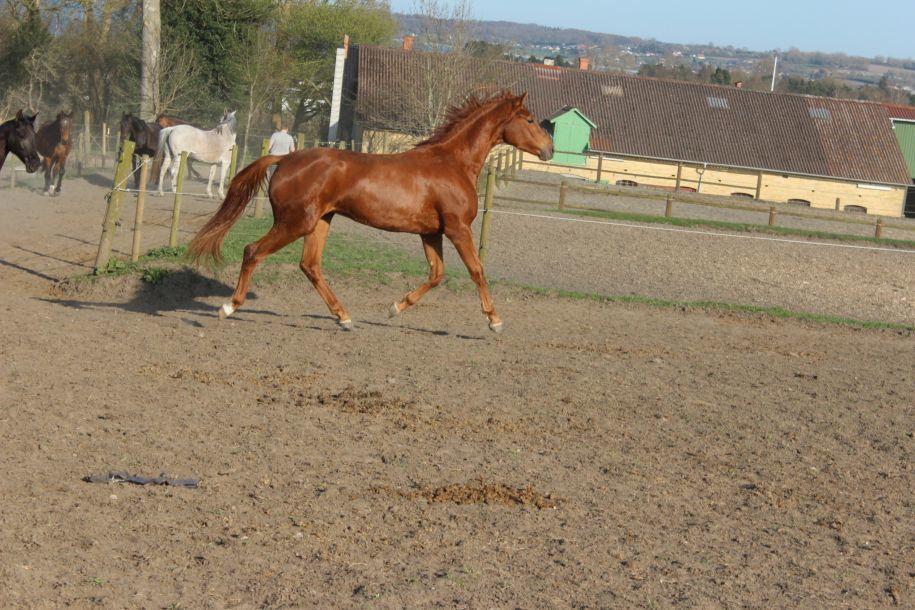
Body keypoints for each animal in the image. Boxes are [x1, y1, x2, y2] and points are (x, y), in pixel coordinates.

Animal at [190, 90, 556, 332]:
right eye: (529, 119)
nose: (549, 149)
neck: (453, 163)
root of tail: (286, 158)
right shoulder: (457, 228)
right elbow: (477, 270)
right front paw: (495, 320)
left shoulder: (430, 233)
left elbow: (436, 275)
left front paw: (395, 308)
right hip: (296, 222)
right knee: (253, 251)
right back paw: (228, 307)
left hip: (320, 221)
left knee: (310, 265)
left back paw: (344, 317)